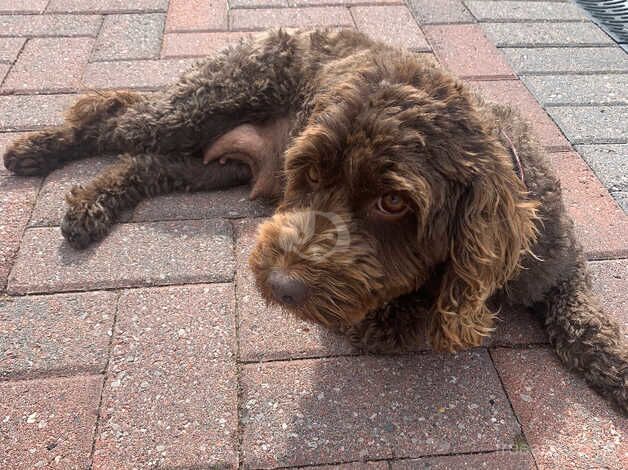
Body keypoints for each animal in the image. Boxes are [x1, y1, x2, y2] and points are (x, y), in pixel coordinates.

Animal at [4, 29, 628, 414]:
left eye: (394, 202)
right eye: (308, 172)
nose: (279, 285)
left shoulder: (561, 265)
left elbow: (585, 324)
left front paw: (618, 367)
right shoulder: (371, 312)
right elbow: (414, 312)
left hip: (205, 167)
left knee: (144, 164)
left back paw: (92, 203)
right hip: (200, 105)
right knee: (113, 115)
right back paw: (37, 149)